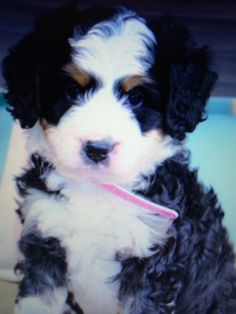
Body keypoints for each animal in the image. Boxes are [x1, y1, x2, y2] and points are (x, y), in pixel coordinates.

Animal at [2, 4, 236, 314]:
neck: (94, 190)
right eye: (72, 91)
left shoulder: (153, 260)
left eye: (135, 97)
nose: (97, 149)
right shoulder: (43, 240)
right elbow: (39, 299)